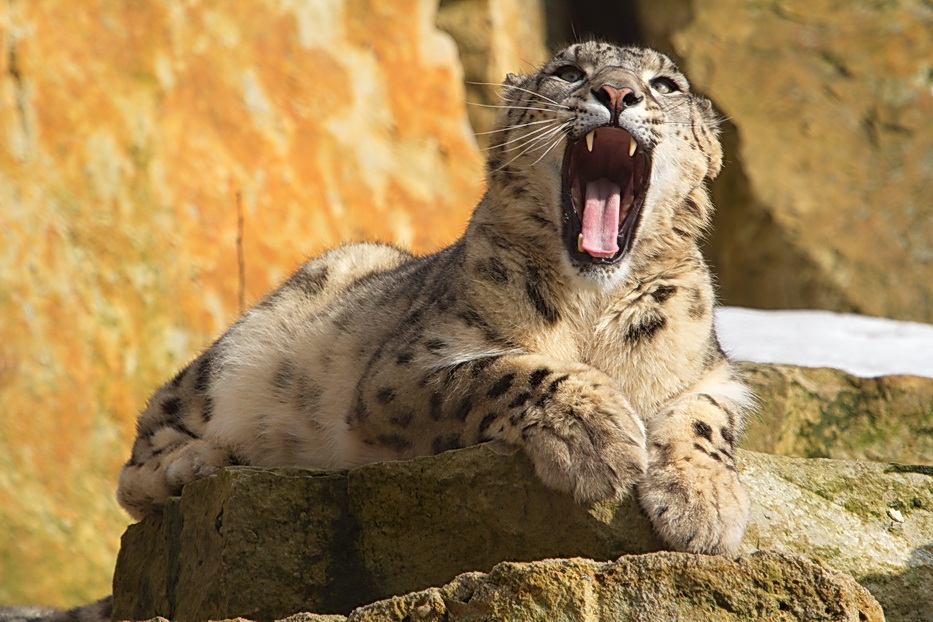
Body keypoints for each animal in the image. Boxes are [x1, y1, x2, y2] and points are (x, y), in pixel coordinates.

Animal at [114, 40, 748, 556]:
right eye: (568, 71)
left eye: (665, 84)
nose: (617, 91)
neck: (592, 306)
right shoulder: (399, 373)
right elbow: (503, 370)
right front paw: (597, 436)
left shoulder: (711, 370)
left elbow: (706, 417)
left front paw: (706, 505)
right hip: (235, 355)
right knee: (140, 456)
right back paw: (197, 462)